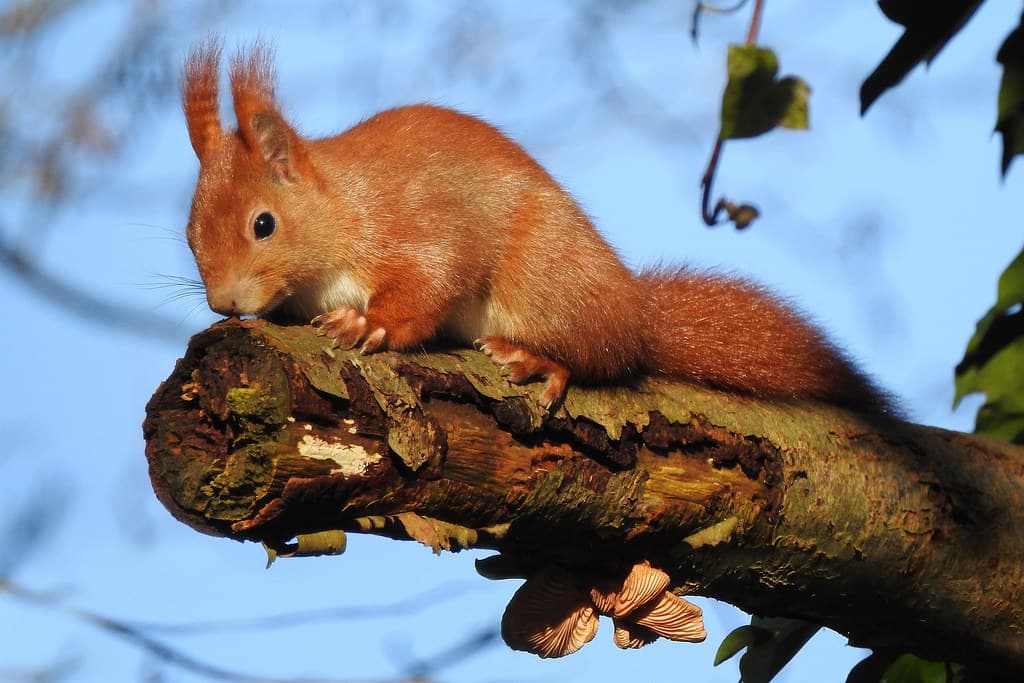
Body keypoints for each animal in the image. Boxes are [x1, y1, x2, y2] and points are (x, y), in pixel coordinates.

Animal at [182, 42, 895, 416]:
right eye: (189, 235)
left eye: (264, 224)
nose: (223, 303)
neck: (338, 209)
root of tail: (634, 310)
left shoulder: (410, 221)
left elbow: (433, 276)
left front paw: (371, 323)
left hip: (544, 277)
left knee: (604, 356)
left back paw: (538, 359)